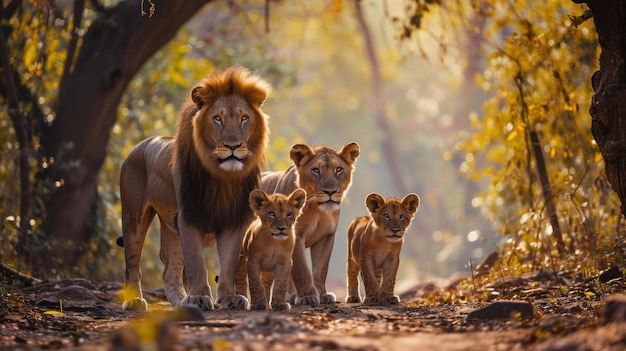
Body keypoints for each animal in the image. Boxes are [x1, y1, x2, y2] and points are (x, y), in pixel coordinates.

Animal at [119, 65, 270, 310]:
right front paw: (199, 298)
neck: (222, 177)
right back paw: (134, 301)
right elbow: (197, 263)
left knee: (170, 273)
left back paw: (180, 301)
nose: (233, 145)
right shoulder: (188, 216)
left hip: (170, 228)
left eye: (244, 118)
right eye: (217, 118)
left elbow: (228, 263)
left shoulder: (233, 219)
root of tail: (139, 146)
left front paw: (229, 298)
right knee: (132, 264)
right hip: (134, 216)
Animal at [258, 143, 358, 306]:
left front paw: (322, 295)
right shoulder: (295, 235)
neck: (316, 209)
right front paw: (308, 296)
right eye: (315, 170)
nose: (330, 191)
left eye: (339, 169)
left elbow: (320, 270)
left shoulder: (326, 237)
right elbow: (301, 269)